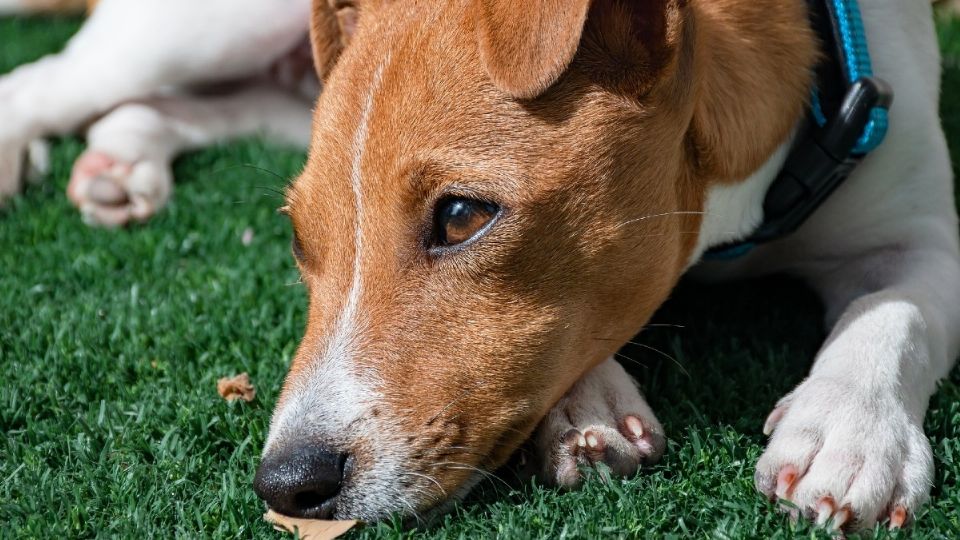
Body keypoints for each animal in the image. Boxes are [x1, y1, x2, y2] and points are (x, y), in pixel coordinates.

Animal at [0, 0, 956, 532]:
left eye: (462, 216)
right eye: (301, 242)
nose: (286, 484)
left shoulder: (922, 235)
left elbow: (893, 315)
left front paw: (849, 434)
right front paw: (586, 404)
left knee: (176, 105)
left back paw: (124, 161)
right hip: (205, 26)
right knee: (55, 78)